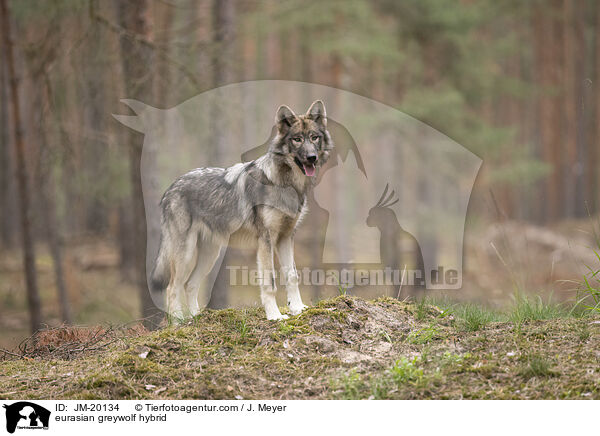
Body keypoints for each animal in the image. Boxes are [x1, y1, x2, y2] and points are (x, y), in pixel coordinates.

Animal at [150, 101, 332, 320]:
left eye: (314, 137)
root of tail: (171, 187)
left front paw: (298, 308)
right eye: (297, 139)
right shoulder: (266, 240)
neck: (286, 184)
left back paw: (195, 319)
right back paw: (178, 323)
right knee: (172, 288)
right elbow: (270, 282)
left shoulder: (286, 237)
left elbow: (292, 275)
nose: (312, 157)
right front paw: (275, 316)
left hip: (210, 255)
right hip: (185, 254)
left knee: (190, 285)